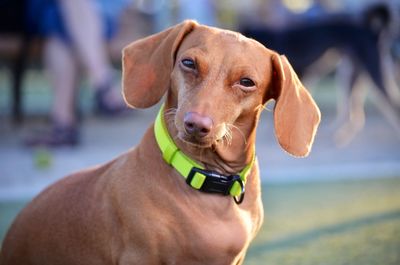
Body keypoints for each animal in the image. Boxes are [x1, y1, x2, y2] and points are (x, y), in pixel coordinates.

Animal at [241, 2, 400, 144]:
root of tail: (371, 30)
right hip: (349, 74)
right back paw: (339, 134)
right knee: (355, 115)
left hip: (373, 72)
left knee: (392, 105)